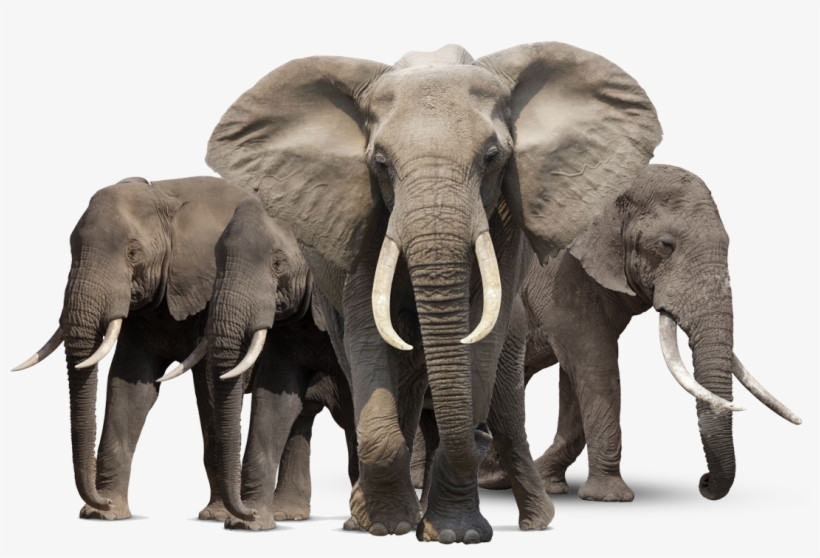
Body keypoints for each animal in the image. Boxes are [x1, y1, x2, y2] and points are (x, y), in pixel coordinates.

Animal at [12, 176, 252, 520]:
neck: (168, 194)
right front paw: (103, 513)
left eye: (134, 253)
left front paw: (217, 516)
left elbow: (211, 385)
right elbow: (129, 387)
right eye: (71, 249)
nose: (100, 500)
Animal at [165, 197, 358, 531]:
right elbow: (274, 404)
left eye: (278, 264)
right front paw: (250, 523)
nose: (246, 512)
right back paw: (288, 514)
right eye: (216, 262)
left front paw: (363, 522)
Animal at [205, 42, 662, 543]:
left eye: (492, 157)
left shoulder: (505, 224)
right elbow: (368, 333)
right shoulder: (364, 218)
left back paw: (530, 521)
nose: (478, 434)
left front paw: (453, 534)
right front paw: (389, 526)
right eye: (380, 164)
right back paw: (368, 519)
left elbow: (480, 335)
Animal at [413, 165, 801, 501]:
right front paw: (610, 498)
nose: (704, 483)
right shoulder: (560, 274)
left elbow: (576, 379)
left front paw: (549, 484)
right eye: (666, 245)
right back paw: (424, 482)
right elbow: (595, 365)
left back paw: (492, 480)